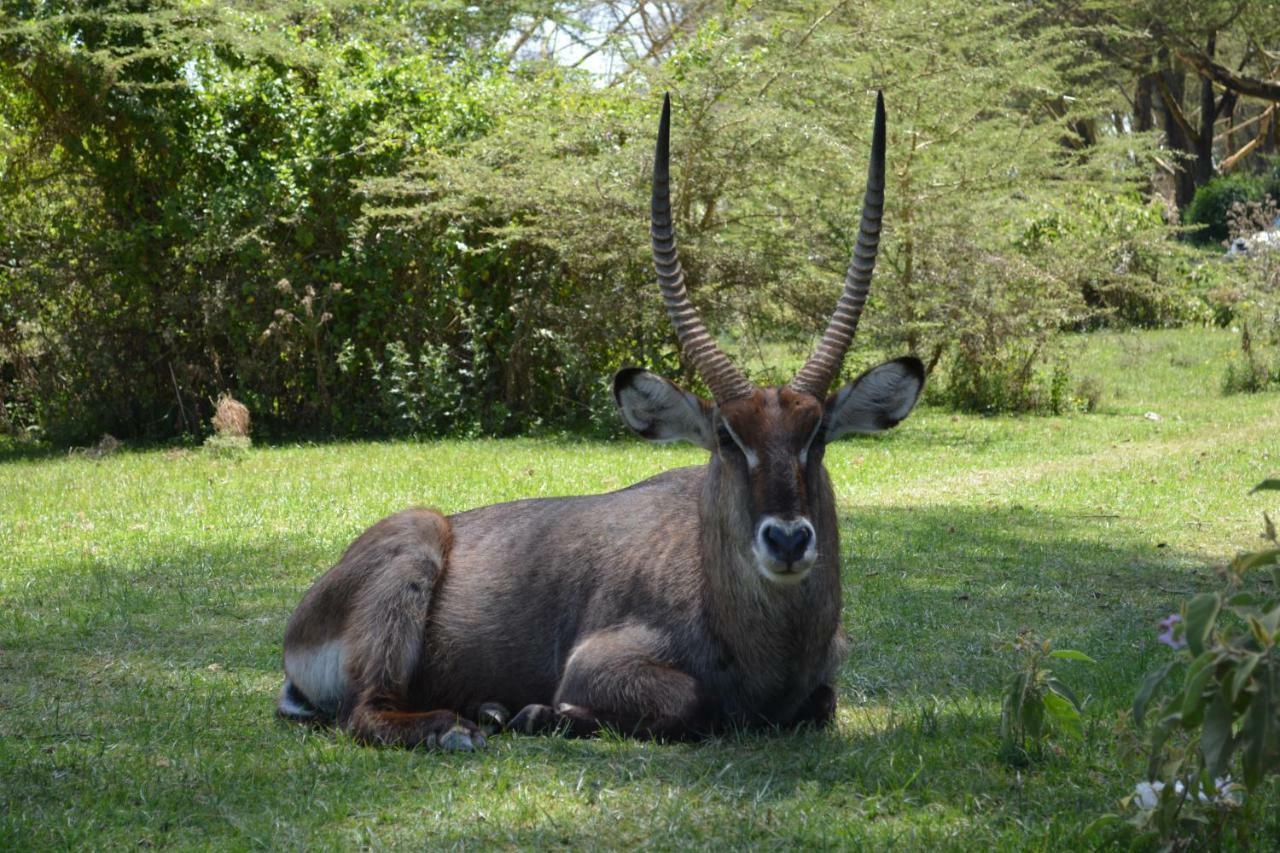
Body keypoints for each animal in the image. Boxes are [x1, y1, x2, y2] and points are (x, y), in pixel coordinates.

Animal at [280, 91, 921, 742]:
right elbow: (695, 703)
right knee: (364, 712)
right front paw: (546, 712)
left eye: (818, 435)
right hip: (414, 548)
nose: (787, 540)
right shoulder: (597, 664)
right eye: (726, 436)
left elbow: (823, 703)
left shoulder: (819, 685)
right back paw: (463, 724)